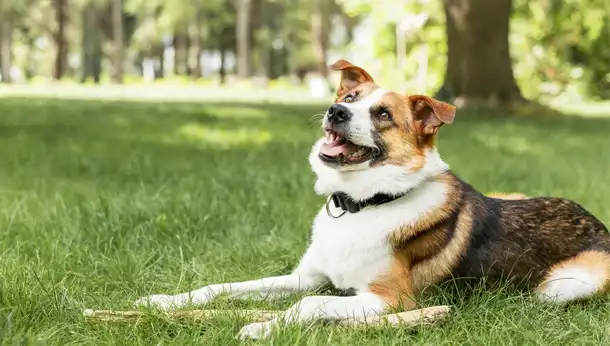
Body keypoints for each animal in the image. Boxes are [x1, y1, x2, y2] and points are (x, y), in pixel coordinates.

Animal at [135, 60, 608, 340]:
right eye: (348, 99)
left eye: (383, 115)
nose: (336, 112)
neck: (364, 203)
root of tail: (597, 221)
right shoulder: (307, 277)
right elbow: (222, 287)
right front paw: (163, 303)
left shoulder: (391, 300)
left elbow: (310, 305)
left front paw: (263, 327)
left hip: (565, 285)